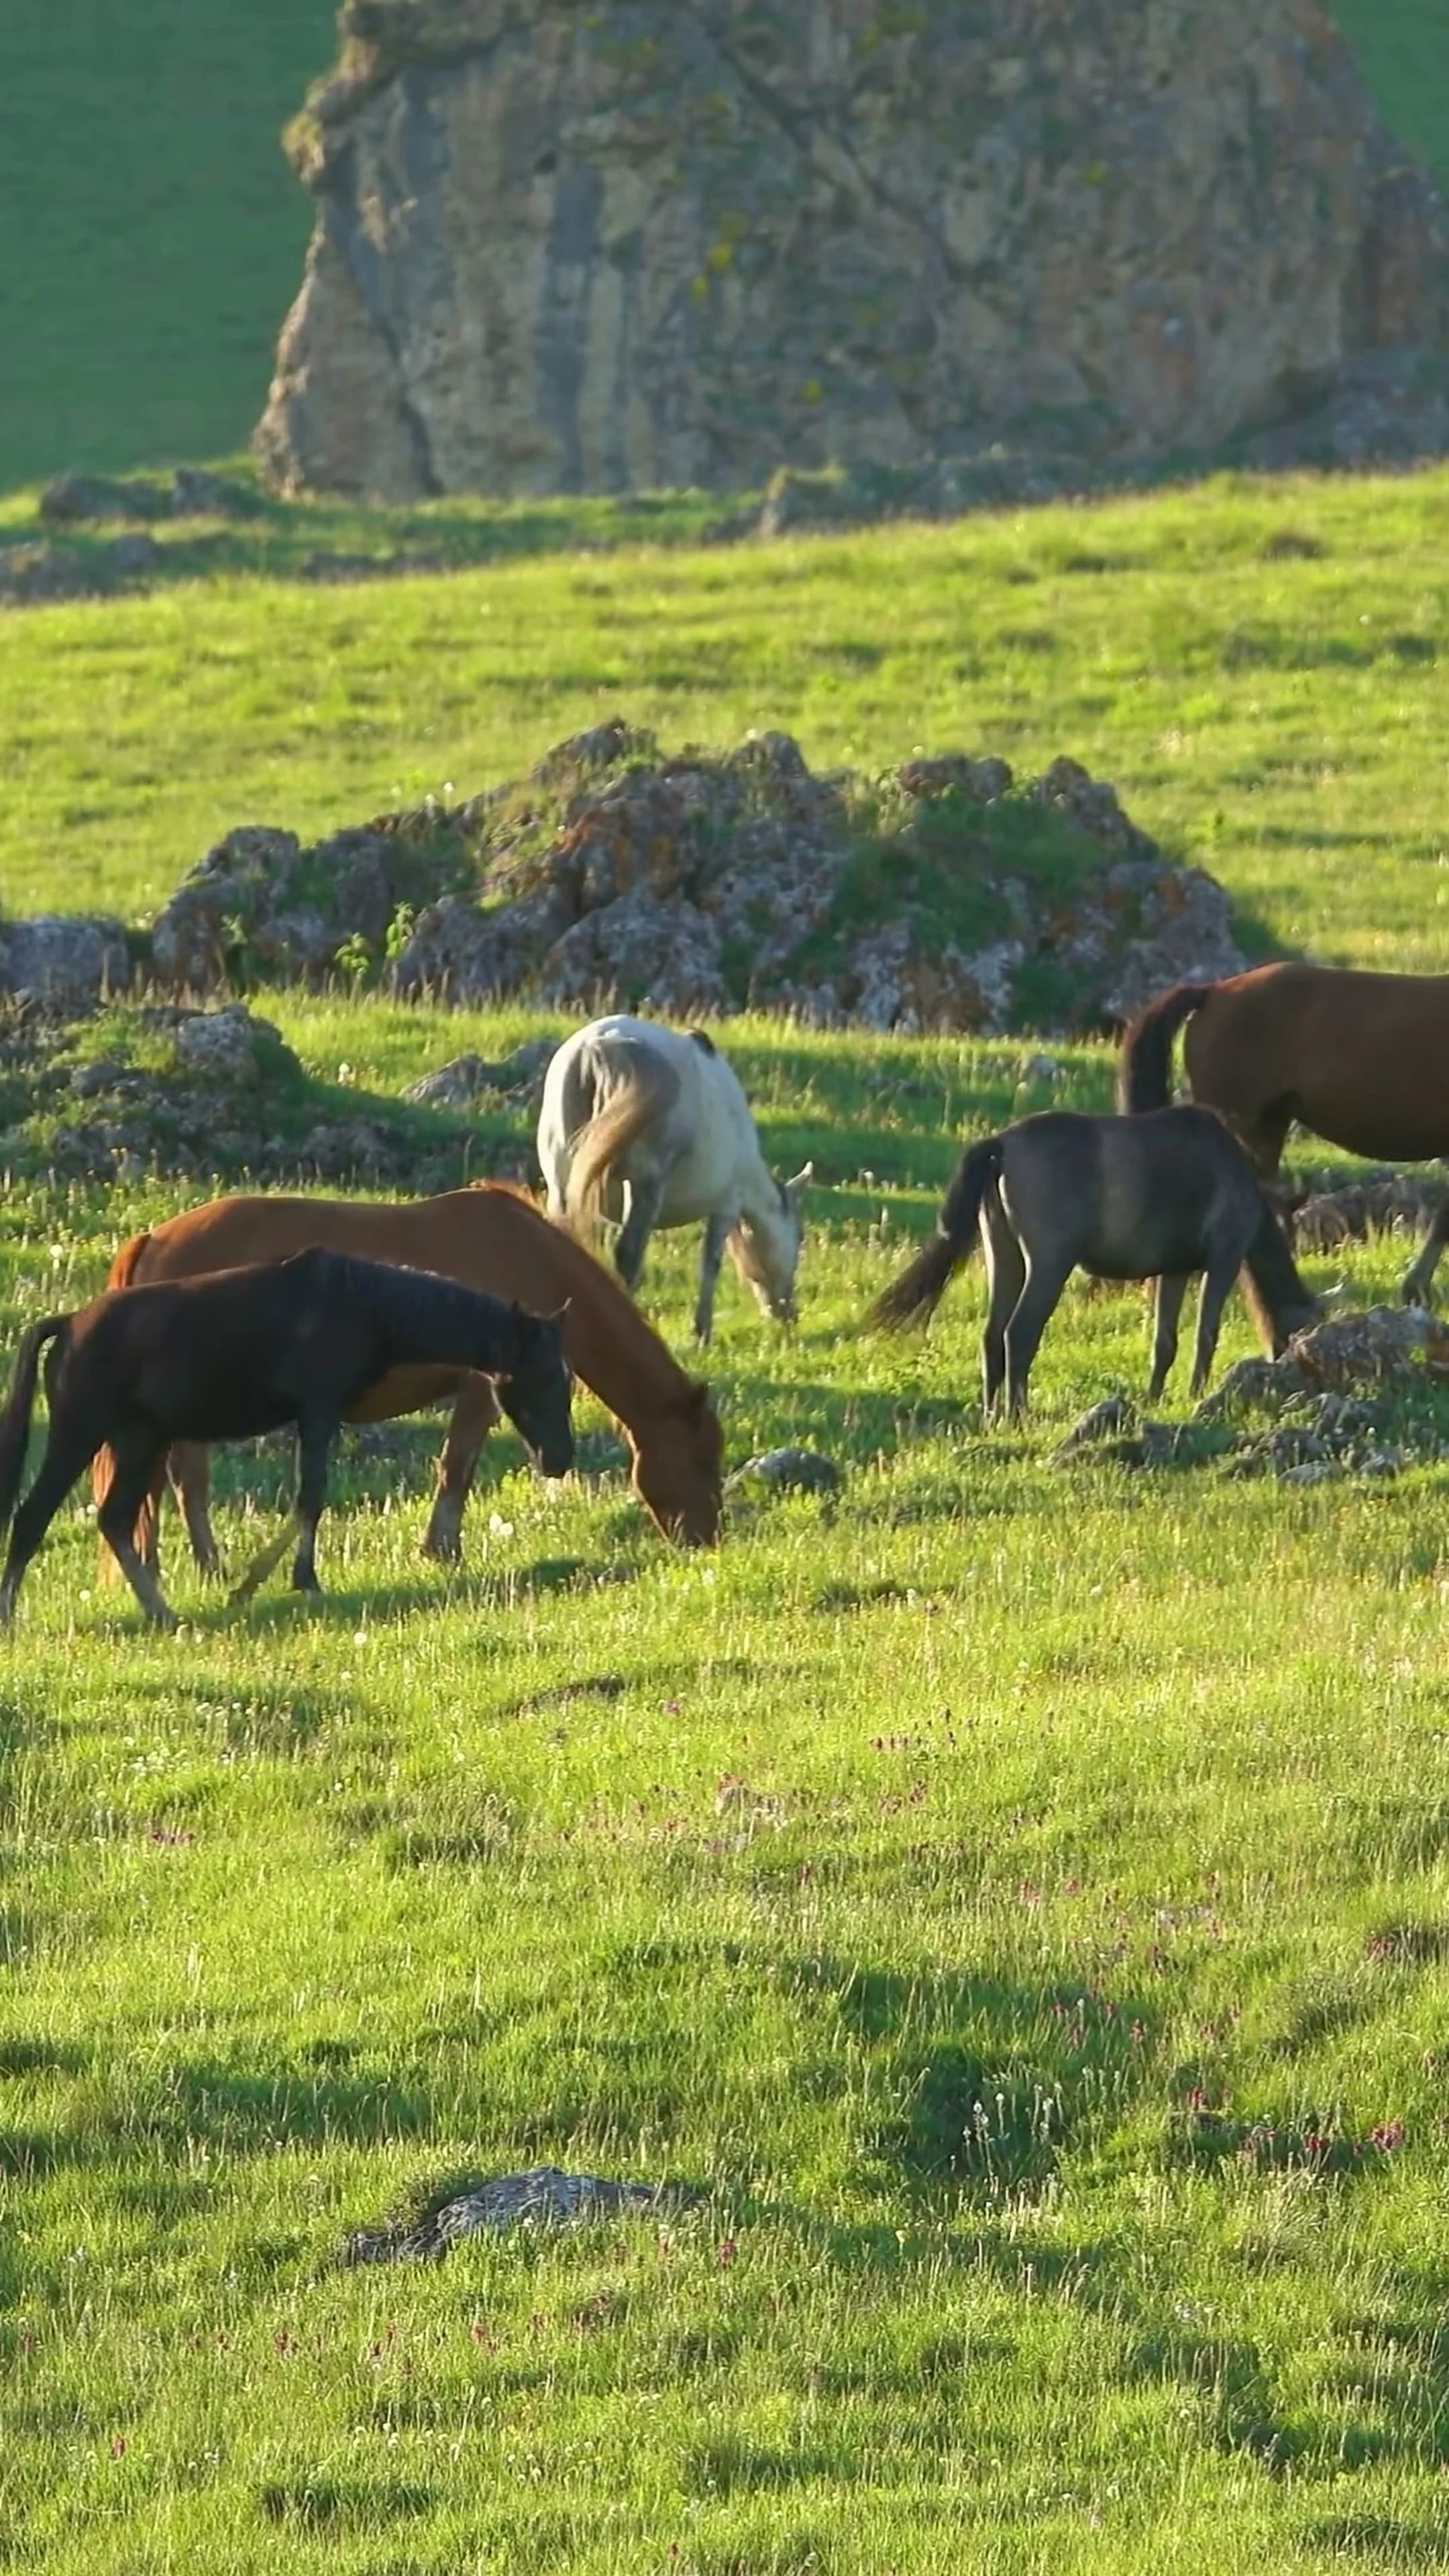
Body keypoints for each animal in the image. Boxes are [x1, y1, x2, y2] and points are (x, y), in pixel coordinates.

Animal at [0, 1250, 574, 1630]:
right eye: (544, 1375)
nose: (560, 1460)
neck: (364, 1304)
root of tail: (69, 1324)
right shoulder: (318, 1413)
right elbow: (310, 1498)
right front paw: (298, 1580)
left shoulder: (317, 1416)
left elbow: (306, 1501)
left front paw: (249, 1586)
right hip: (81, 1434)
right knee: (33, 1517)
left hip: (140, 1441)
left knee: (114, 1520)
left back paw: (163, 1612)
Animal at [92, 1183, 724, 1583]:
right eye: (703, 1458)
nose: (707, 1539)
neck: (528, 1258)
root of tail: (151, 1240)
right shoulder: (480, 1391)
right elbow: (457, 1466)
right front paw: (442, 1549)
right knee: (179, 1482)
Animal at [537, 1016, 812, 1344]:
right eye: (800, 1236)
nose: (789, 1313)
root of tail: (598, 1046)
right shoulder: (726, 1206)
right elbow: (710, 1263)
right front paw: (702, 1332)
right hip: (645, 1186)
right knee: (629, 1257)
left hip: (563, 1186)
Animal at [867, 1105, 1319, 1418]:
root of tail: (1002, 1144)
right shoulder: (1224, 1257)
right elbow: (1206, 1334)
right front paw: (1195, 1393)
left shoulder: (1175, 1269)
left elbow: (1165, 1341)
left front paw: (1154, 1397)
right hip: (1049, 1265)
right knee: (1019, 1333)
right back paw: (1018, 1413)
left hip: (1005, 1258)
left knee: (993, 1335)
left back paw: (993, 1414)